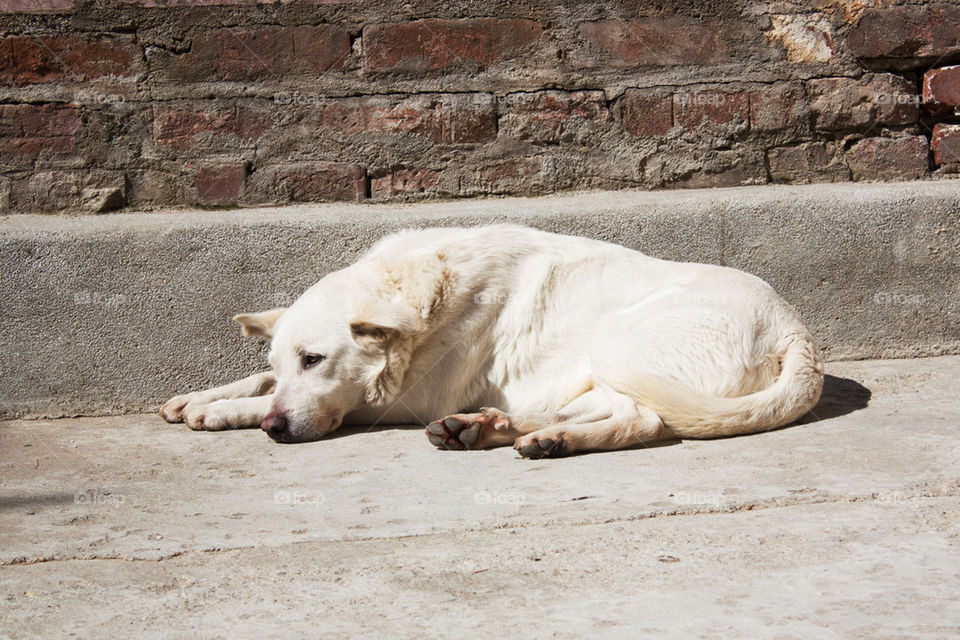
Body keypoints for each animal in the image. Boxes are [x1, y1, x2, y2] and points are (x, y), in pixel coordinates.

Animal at [161, 222, 820, 458]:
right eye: (289, 358)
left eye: (316, 360)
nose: (275, 429)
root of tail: (797, 331)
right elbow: (260, 381)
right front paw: (203, 396)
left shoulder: (403, 399)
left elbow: (332, 402)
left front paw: (226, 413)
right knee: (593, 412)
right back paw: (492, 428)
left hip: (622, 345)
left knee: (645, 420)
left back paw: (540, 437)